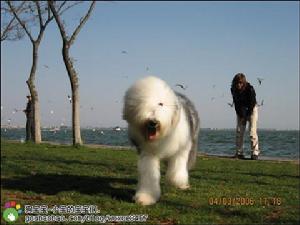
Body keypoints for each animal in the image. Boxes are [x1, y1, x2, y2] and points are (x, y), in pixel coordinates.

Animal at [122, 76, 199, 206]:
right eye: (141, 103)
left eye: (160, 103)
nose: (152, 122)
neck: (163, 135)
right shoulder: (148, 153)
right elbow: (149, 174)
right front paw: (146, 197)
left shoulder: (182, 148)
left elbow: (178, 166)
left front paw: (178, 183)